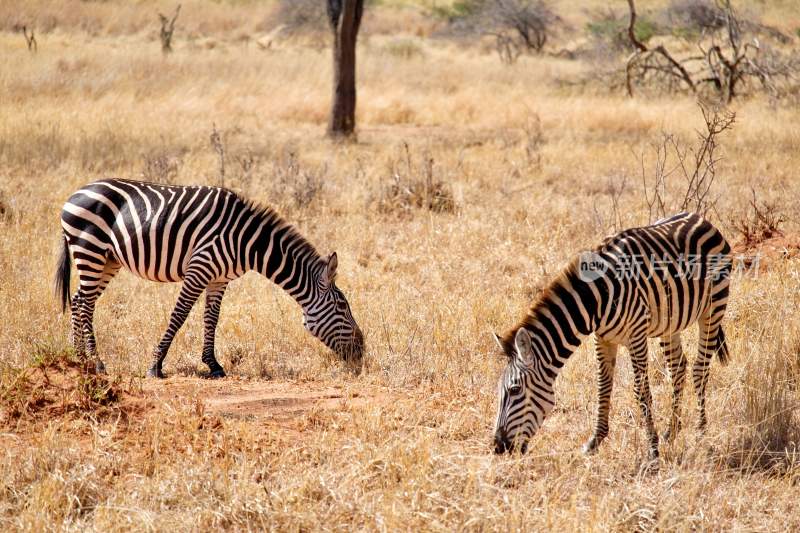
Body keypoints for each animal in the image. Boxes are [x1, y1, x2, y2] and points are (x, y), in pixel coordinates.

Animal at [51, 179, 360, 378]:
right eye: (342, 307)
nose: (362, 351)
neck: (248, 241)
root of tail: (75, 193)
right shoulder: (199, 269)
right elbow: (179, 315)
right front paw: (156, 365)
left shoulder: (219, 278)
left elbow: (212, 319)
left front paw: (213, 365)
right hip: (90, 250)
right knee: (85, 303)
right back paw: (96, 363)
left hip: (107, 259)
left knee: (79, 301)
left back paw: (81, 359)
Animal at [490, 212, 728, 458]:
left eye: (515, 389)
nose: (498, 447)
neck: (596, 300)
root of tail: (699, 217)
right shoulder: (602, 338)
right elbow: (603, 386)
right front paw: (595, 440)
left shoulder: (636, 336)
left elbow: (641, 391)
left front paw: (652, 449)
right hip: (670, 322)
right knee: (679, 368)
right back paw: (672, 431)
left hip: (714, 307)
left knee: (700, 369)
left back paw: (700, 432)